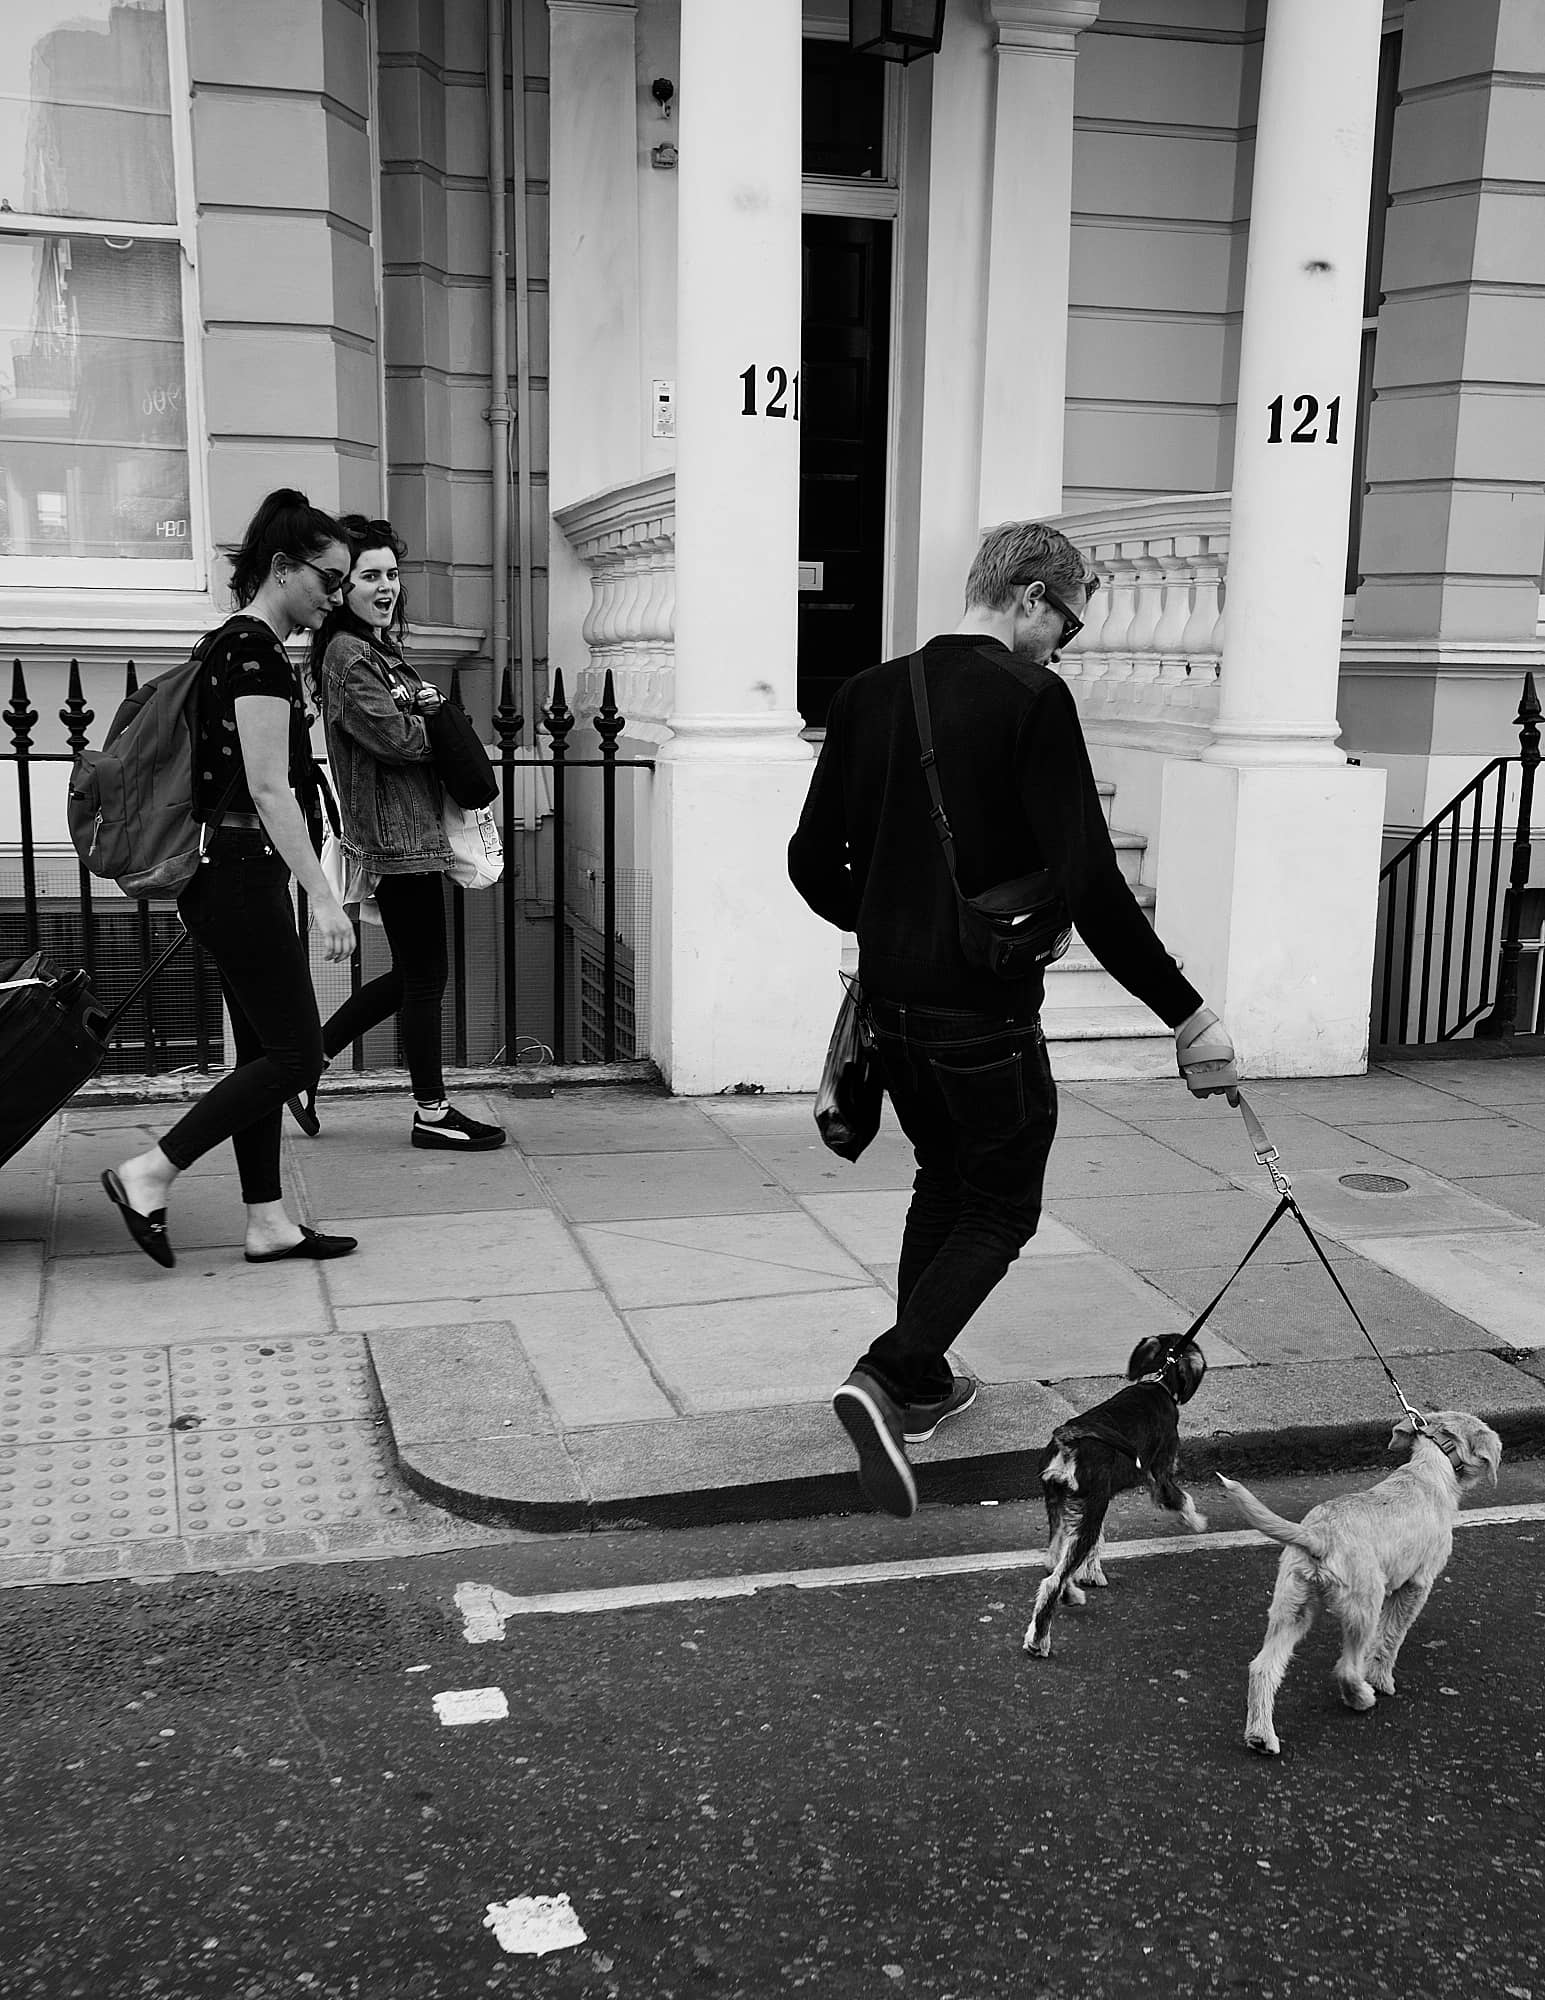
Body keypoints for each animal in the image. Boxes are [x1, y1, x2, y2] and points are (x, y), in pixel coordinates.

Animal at [1024, 1344, 1208, 1656]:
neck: (1158, 1382)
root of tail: (1068, 1439)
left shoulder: (1089, 1507)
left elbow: (1094, 1545)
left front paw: (1090, 1573)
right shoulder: (1160, 1477)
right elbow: (1181, 1499)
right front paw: (1197, 1523)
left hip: (1060, 1505)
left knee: (1053, 1560)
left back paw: (1070, 1593)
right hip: (1089, 1505)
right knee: (1052, 1581)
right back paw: (1039, 1639)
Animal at [1216, 1416, 1496, 1760]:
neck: (1429, 1469)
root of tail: (1318, 1536)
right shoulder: (1416, 1585)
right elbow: (1391, 1636)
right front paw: (1381, 1679)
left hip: (1291, 1608)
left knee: (1262, 1667)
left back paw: (1260, 1736)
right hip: (1363, 1607)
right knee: (1347, 1669)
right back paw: (1362, 1696)